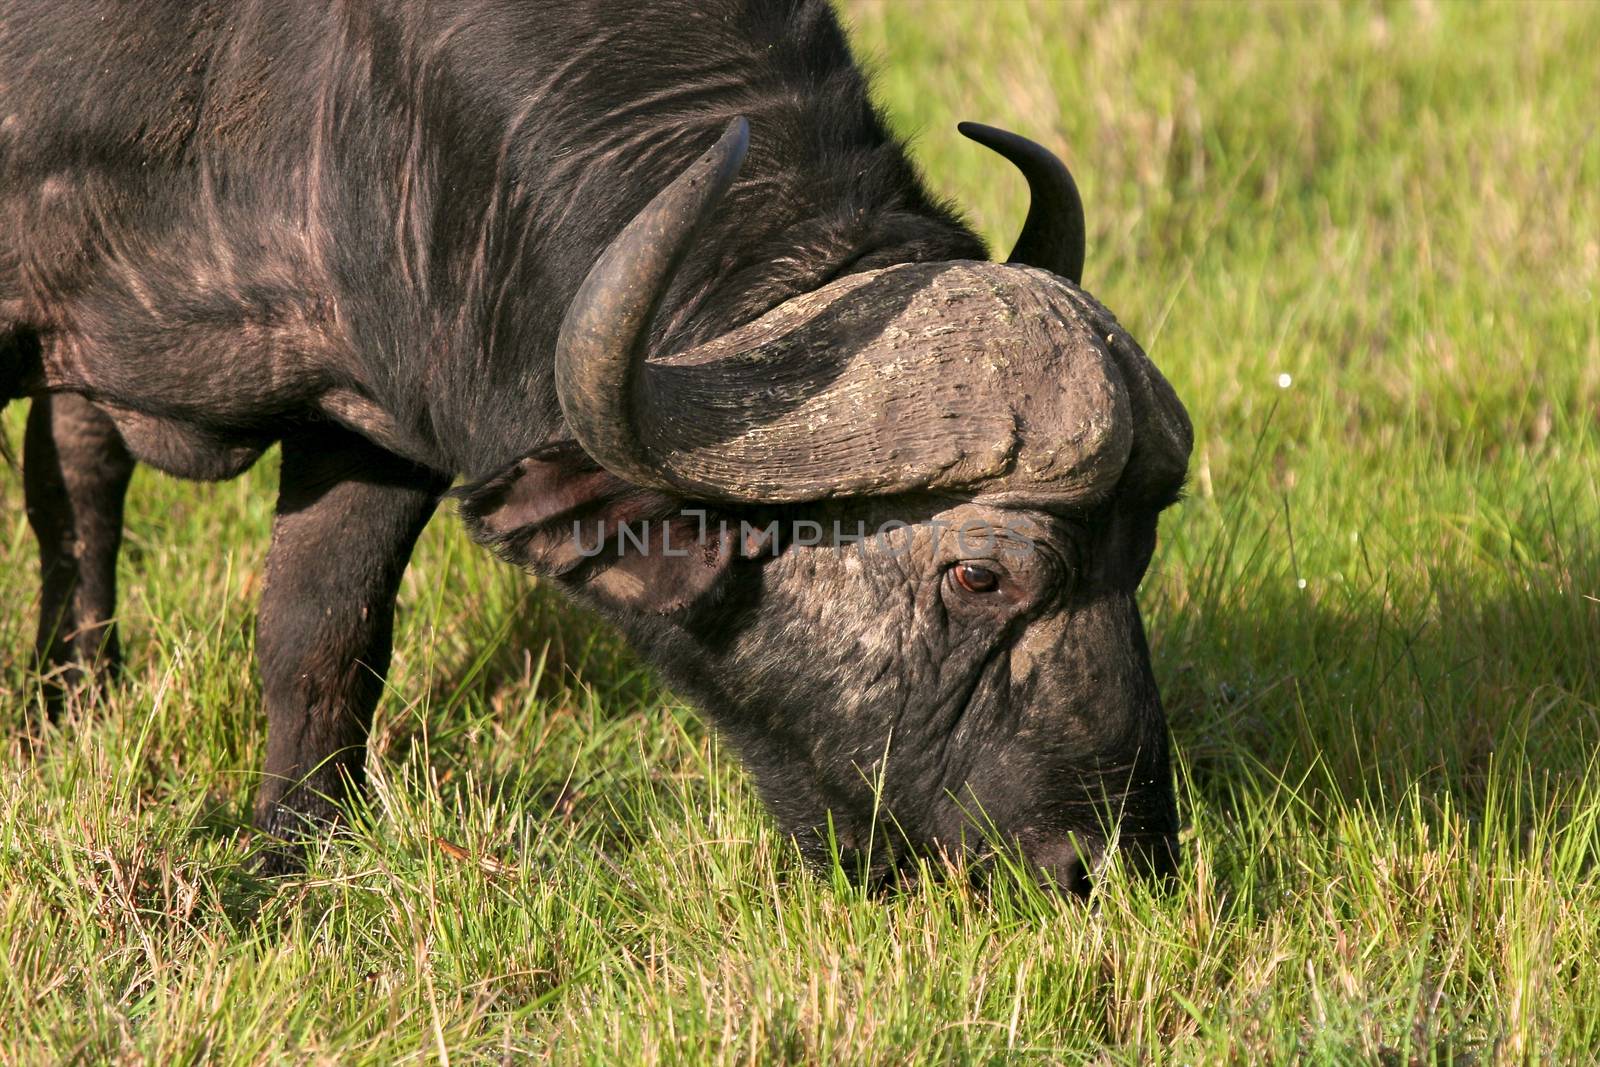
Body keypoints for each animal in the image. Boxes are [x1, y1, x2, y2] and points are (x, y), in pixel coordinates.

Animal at [0, 0, 1196, 895]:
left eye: (1138, 554)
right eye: (979, 574)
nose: (1106, 865)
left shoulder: (376, 410)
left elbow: (322, 635)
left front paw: (293, 853)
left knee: (78, 462)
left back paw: (79, 692)